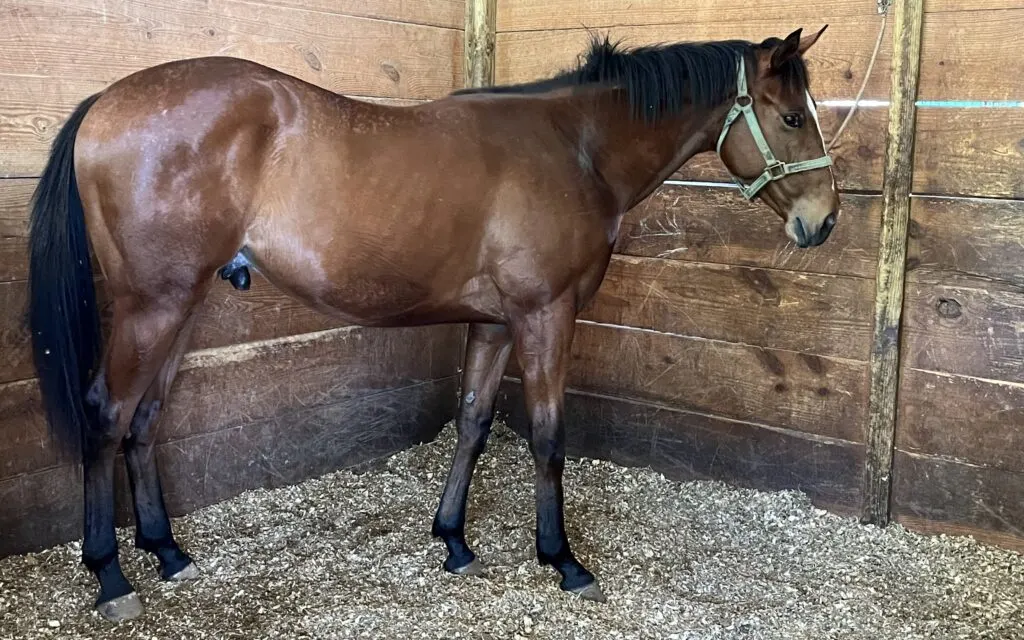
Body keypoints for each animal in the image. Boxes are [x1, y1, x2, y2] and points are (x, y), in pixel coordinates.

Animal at [25, 27, 839, 622]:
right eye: (792, 117)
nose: (824, 221)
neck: (573, 148)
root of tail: (108, 101)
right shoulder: (546, 315)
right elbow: (548, 436)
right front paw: (562, 559)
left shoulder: (497, 322)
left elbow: (473, 421)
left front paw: (453, 540)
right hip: (152, 305)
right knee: (107, 412)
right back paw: (110, 577)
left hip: (182, 305)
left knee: (146, 416)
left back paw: (166, 553)